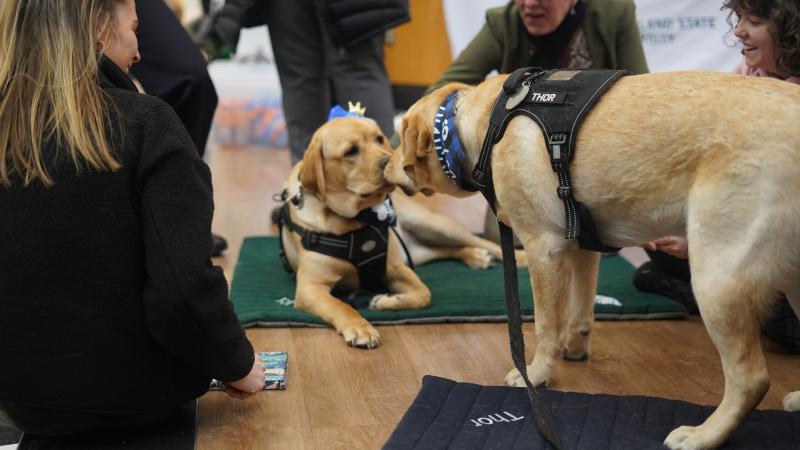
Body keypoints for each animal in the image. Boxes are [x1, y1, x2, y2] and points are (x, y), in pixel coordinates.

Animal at [278, 116, 520, 348]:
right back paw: (474, 256)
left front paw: (385, 301)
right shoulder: (310, 288)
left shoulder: (395, 267)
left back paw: (511, 257)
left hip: (435, 225)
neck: (356, 221)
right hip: (417, 251)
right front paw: (359, 327)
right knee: (444, 249)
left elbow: (424, 294)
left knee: (483, 243)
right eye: (350, 151)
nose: (388, 162)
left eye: (378, 139)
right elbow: (340, 306)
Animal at [386, 73, 800, 450]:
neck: (482, 126)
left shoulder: (542, 247)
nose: (385, 168)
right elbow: (580, 310)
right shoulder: (584, 244)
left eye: (396, 138)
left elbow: (545, 325)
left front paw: (536, 374)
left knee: (751, 378)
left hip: (715, 277)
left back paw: (704, 436)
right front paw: (575, 348)